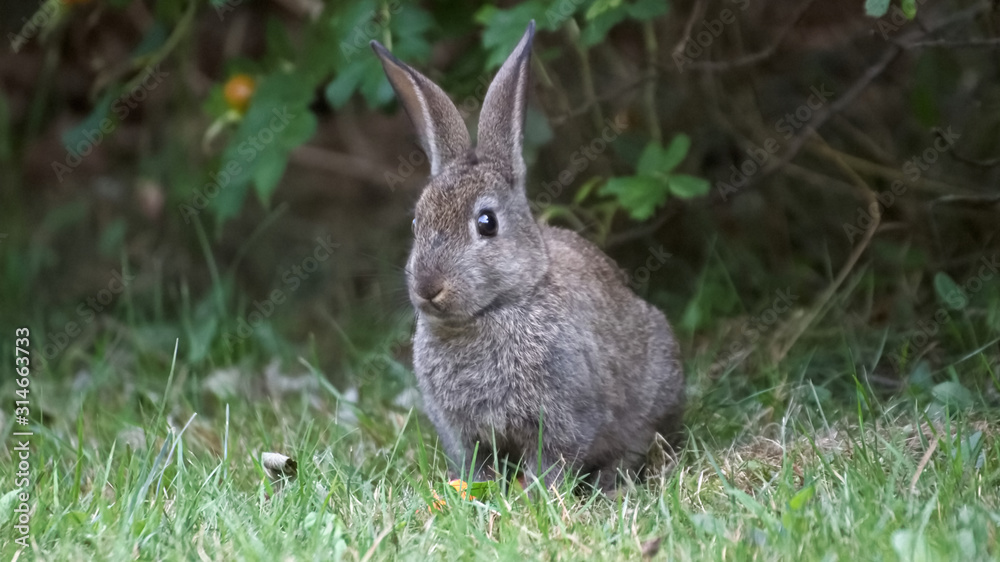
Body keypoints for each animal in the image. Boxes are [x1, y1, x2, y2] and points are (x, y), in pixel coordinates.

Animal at [371, 21, 684, 493]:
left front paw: (538, 494)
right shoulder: (464, 433)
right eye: (415, 224)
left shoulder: (563, 417)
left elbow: (554, 460)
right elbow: (478, 463)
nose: (428, 288)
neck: (494, 310)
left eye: (486, 223)